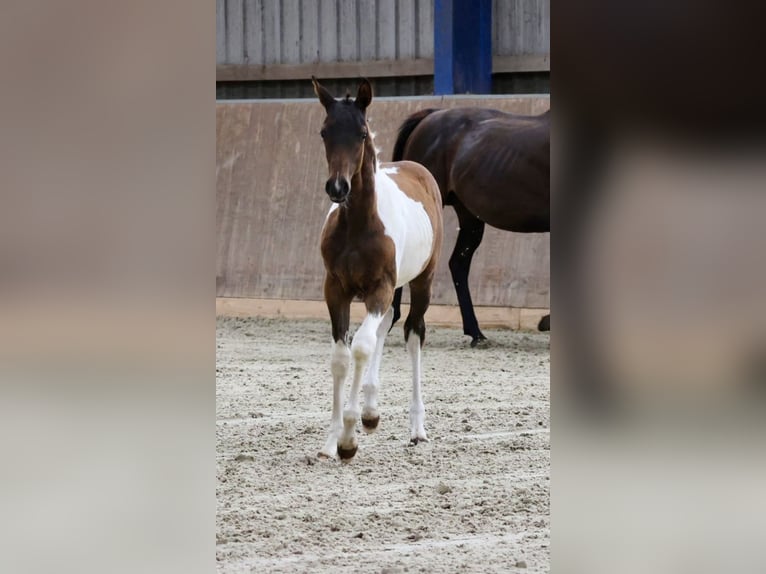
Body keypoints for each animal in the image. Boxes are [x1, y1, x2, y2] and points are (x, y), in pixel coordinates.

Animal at [312, 77, 444, 464]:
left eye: (361, 132)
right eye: (325, 132)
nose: (337, 187)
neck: (359, 225)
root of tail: (416, 167)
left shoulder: (379, 289)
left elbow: (361, 346)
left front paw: (348, 439)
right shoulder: (336, 290)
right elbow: (341, 357)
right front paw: (332, 440)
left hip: (422, 281)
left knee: (413, 333)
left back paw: (417, 429)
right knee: (387, 324)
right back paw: (371, 412)